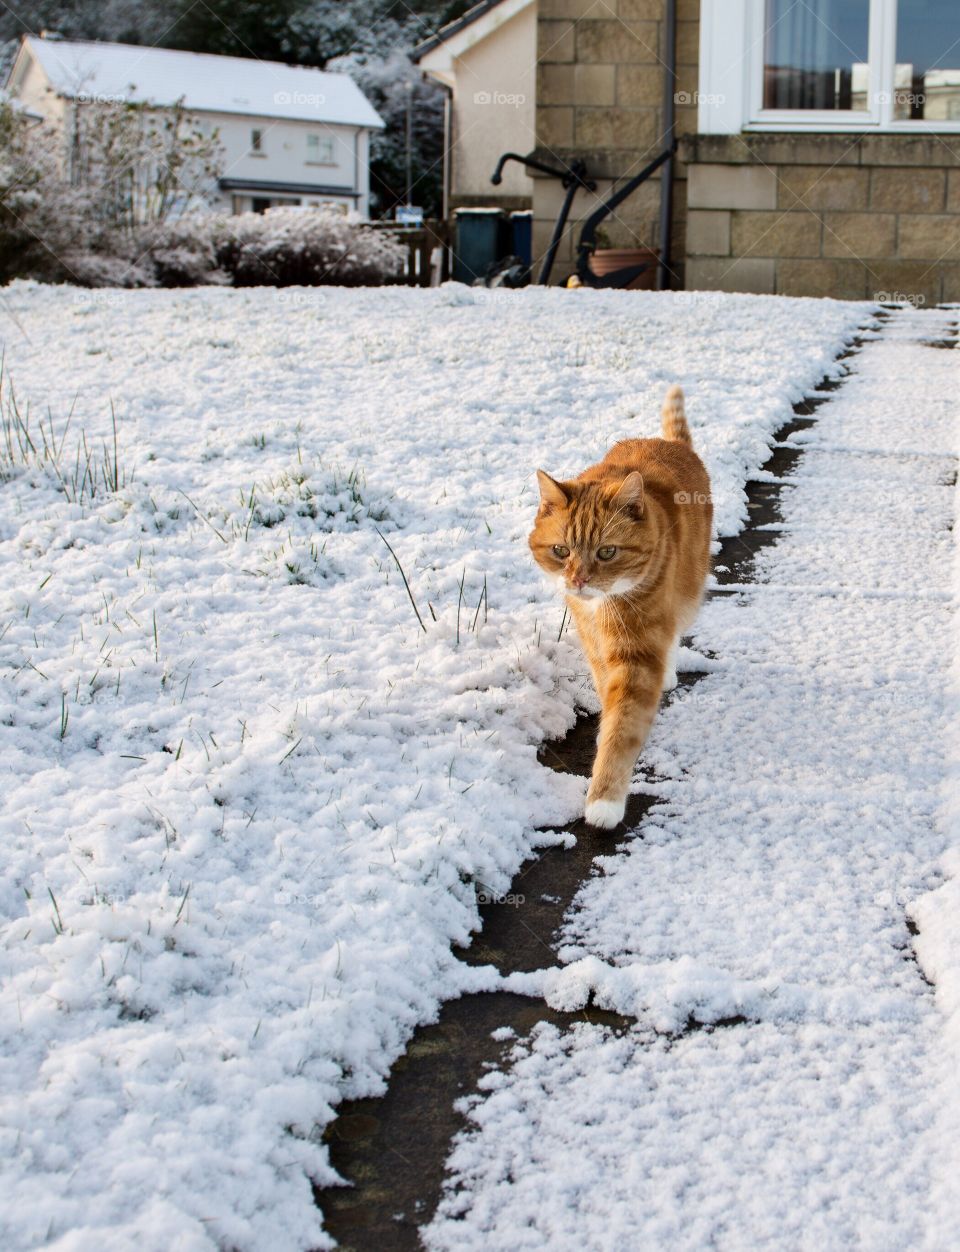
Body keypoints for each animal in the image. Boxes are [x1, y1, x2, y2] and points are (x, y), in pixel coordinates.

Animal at [530, 385, 710, 826]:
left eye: (607, 551)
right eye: (561, 550)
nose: (578, 580)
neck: (603, 609)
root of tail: (669, 442)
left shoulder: (637, 652)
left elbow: (623, 723)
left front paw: (604, 799)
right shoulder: (592, 638)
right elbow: (608, 695)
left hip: (688, 590)